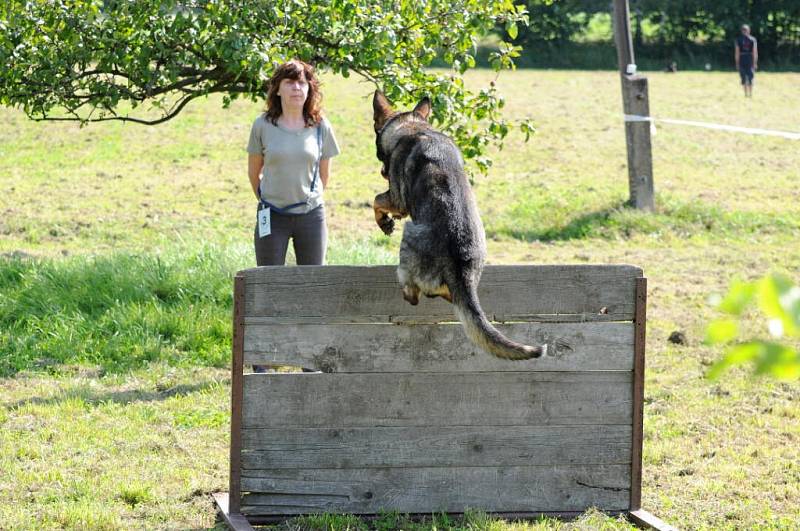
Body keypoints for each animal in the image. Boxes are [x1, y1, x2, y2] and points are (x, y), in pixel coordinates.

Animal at [372, 91, 548, 362]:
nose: (383, 170)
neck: (414, 127)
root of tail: (460, 266)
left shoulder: (397, 199)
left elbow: (377, 200)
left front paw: (384, 221)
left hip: (410, 234)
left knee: (414, 294)